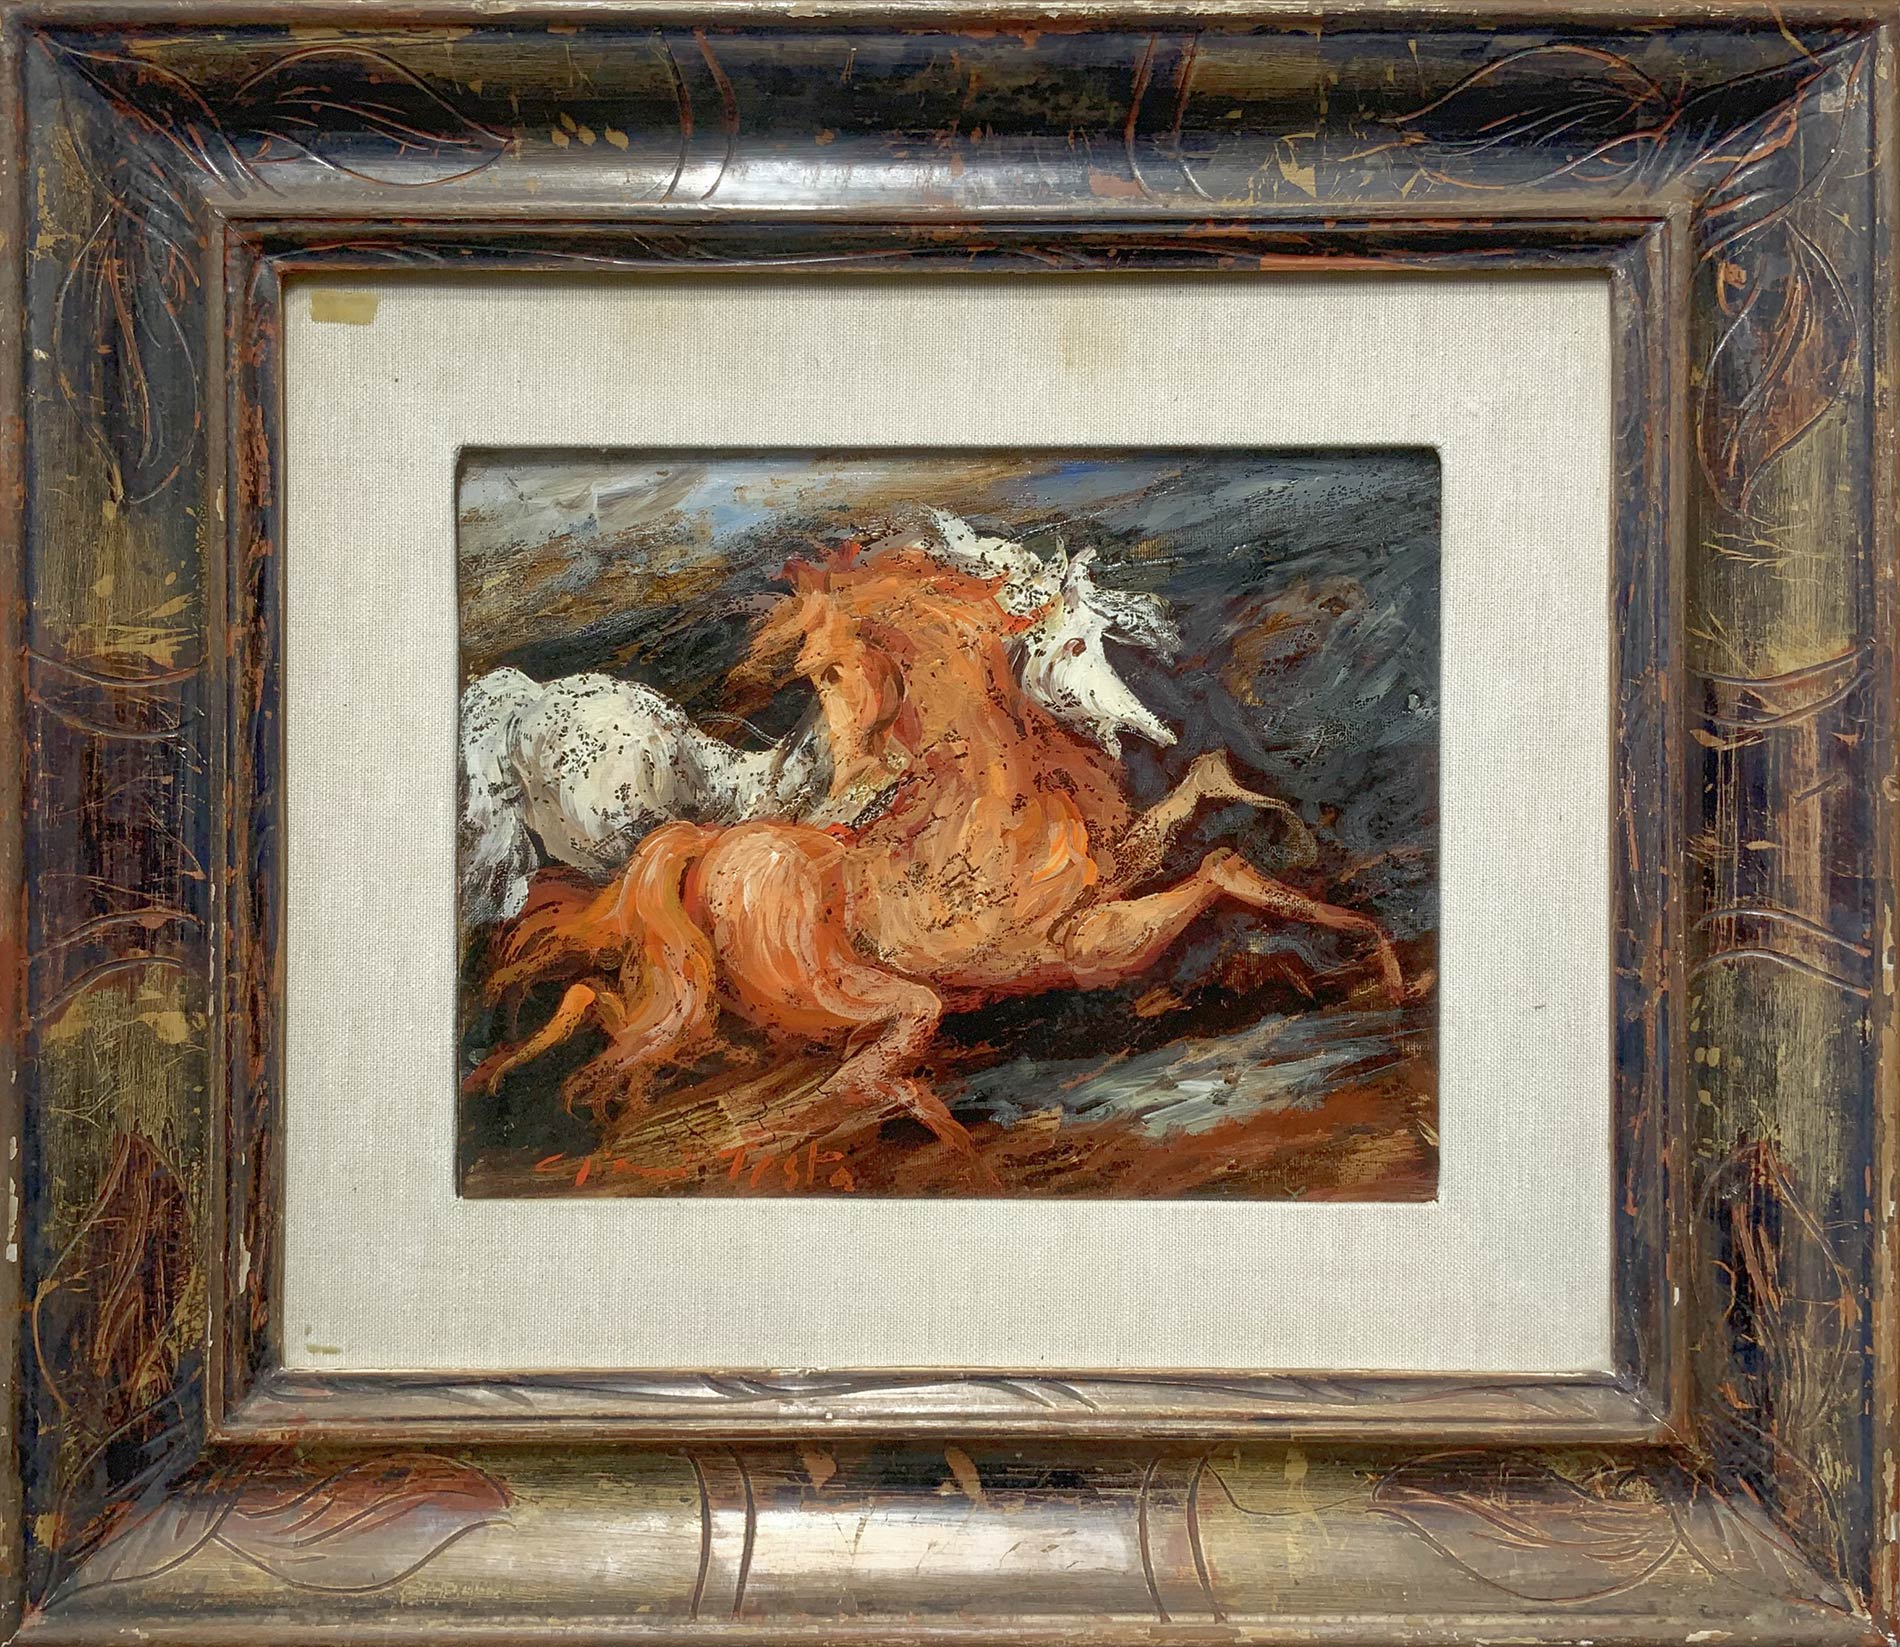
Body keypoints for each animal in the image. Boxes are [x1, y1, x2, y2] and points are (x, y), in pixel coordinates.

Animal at [465, 539, 1401, 1173]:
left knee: (621, 1006)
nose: (1150, 727)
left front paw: (1303, 848)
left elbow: (1205, 794)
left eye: (1101, 638)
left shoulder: (1111, 881)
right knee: (841, 1067)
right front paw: (1375, 956)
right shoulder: (1083, 943)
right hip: (849, 993)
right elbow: (1218, 869)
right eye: (1069, 645)